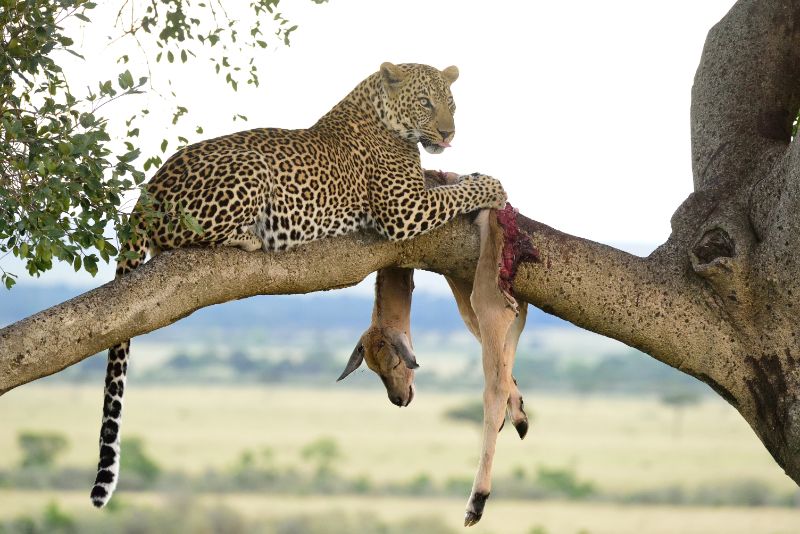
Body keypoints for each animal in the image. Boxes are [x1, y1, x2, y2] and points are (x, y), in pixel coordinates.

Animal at [90, 62, 507, 507]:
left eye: (452, 105)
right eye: (426, 103)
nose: (448, 134)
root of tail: (148, 191)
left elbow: (447, 183)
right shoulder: (404, 209)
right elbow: (457, 193)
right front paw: (492, 185)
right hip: (247, 171)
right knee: (184, 237)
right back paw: (253, 235)